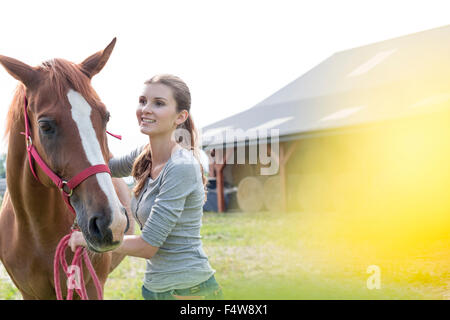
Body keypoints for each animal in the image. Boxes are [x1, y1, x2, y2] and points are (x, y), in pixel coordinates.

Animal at [0, 38, 134, 298]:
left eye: (106, 117)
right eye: (45, 126)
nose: (111, 221)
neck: (36, 230)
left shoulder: (89, 287)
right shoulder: (29, 292)